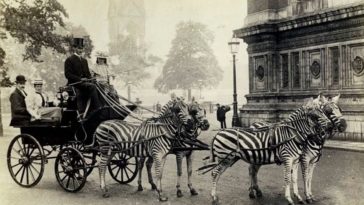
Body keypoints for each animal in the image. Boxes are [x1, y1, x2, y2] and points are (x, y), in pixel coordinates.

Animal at [200, 98, 334, 204]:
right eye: (314, 115)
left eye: (323, 111)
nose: (330, 125)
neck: (292, 134)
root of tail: (218, 133)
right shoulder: (289, 159)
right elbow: (288, 178)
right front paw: (290, 199)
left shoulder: (296, 160)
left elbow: (295, 178)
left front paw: (299, 197)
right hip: (225, 158)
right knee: (215, 173)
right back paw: (214, 196)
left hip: (233, 159)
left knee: (235, 172)